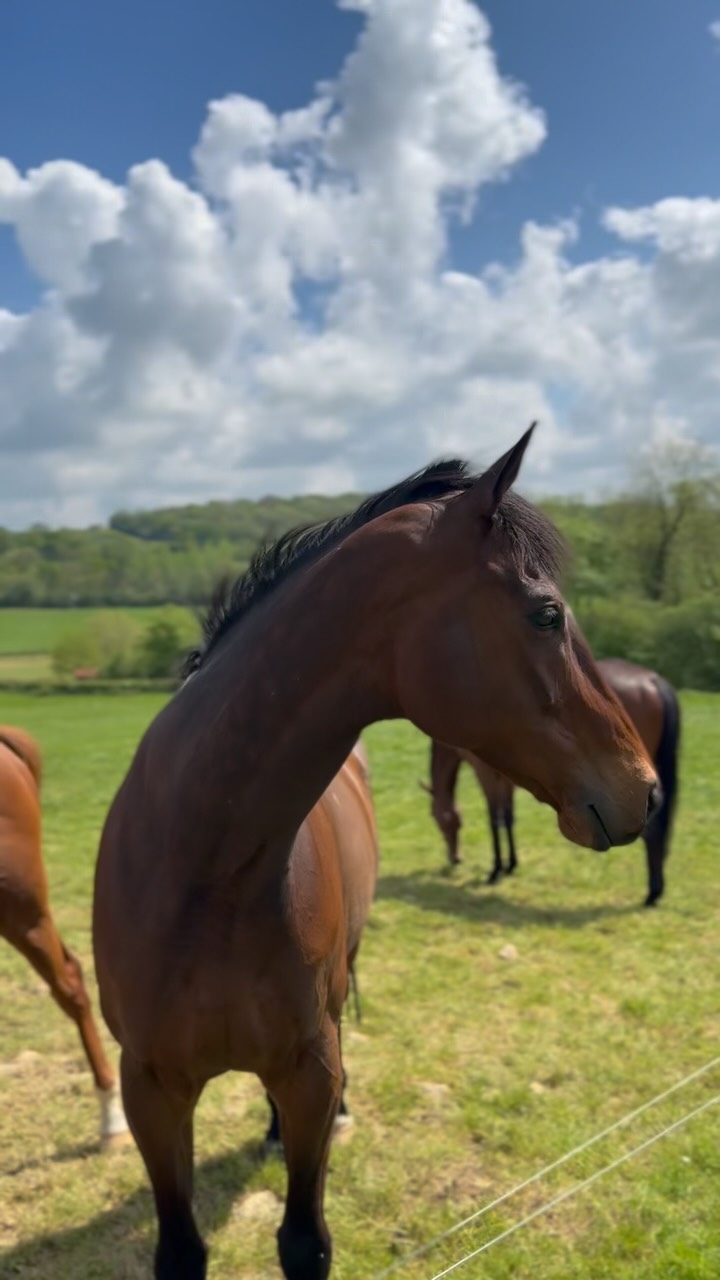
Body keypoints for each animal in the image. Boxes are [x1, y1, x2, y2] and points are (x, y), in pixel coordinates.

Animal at [425, 657, 680, 907]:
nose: (455, 858)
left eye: (443, 821)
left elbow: (495, 821)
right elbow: (508, 818)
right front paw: (511, 865)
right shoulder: (505, 781)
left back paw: (652, 893)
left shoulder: (486, 775)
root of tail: (653, 680)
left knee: (652, 832)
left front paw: (496, 870)